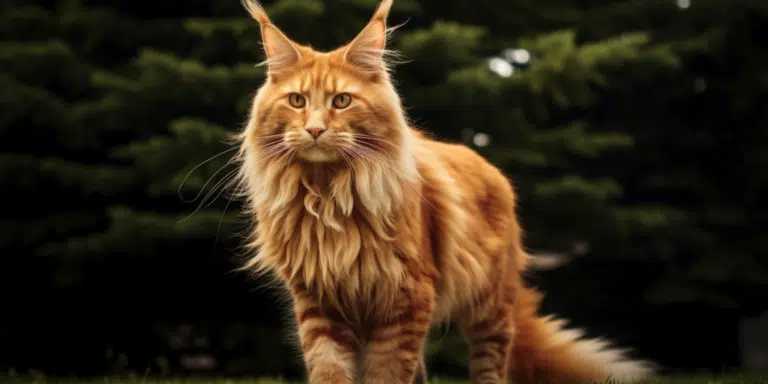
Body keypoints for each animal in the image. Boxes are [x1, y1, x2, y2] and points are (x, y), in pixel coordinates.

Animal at [232, 0, 656, 384]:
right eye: (297, 101)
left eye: (342, 101)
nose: (315, 129)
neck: (327, 194)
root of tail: (489, 167)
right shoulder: (320, 304)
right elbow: (330, 371)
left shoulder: (405, 298)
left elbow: (387, 374)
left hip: (490, 307)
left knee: (491, 363)